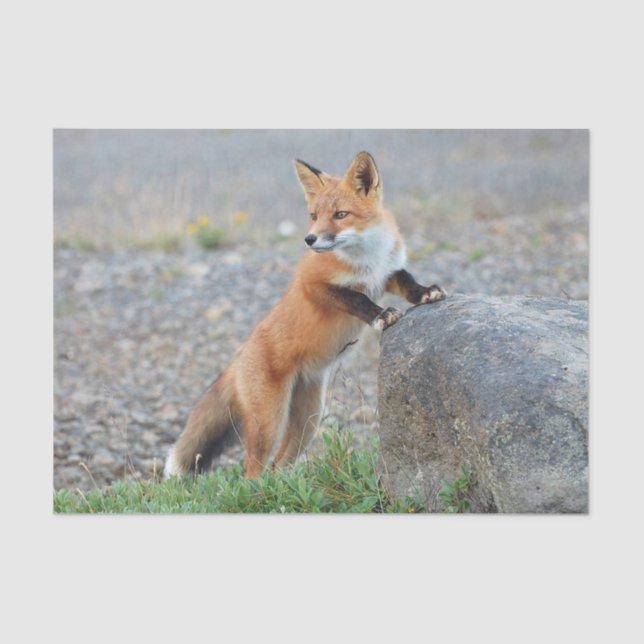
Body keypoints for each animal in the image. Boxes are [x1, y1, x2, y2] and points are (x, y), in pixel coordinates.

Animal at [164, 151, 446, 479]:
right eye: (314, 216)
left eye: (340, 214)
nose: (309, 240)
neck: (367, 259)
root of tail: (239, 355)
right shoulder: (313, 284)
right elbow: (357, 298)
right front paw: (381, 316)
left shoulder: (387, 273)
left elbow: (407, 280)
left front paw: (426, 293)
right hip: (269, 422)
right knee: (253, 471)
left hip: (308, 420)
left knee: (278, 465)